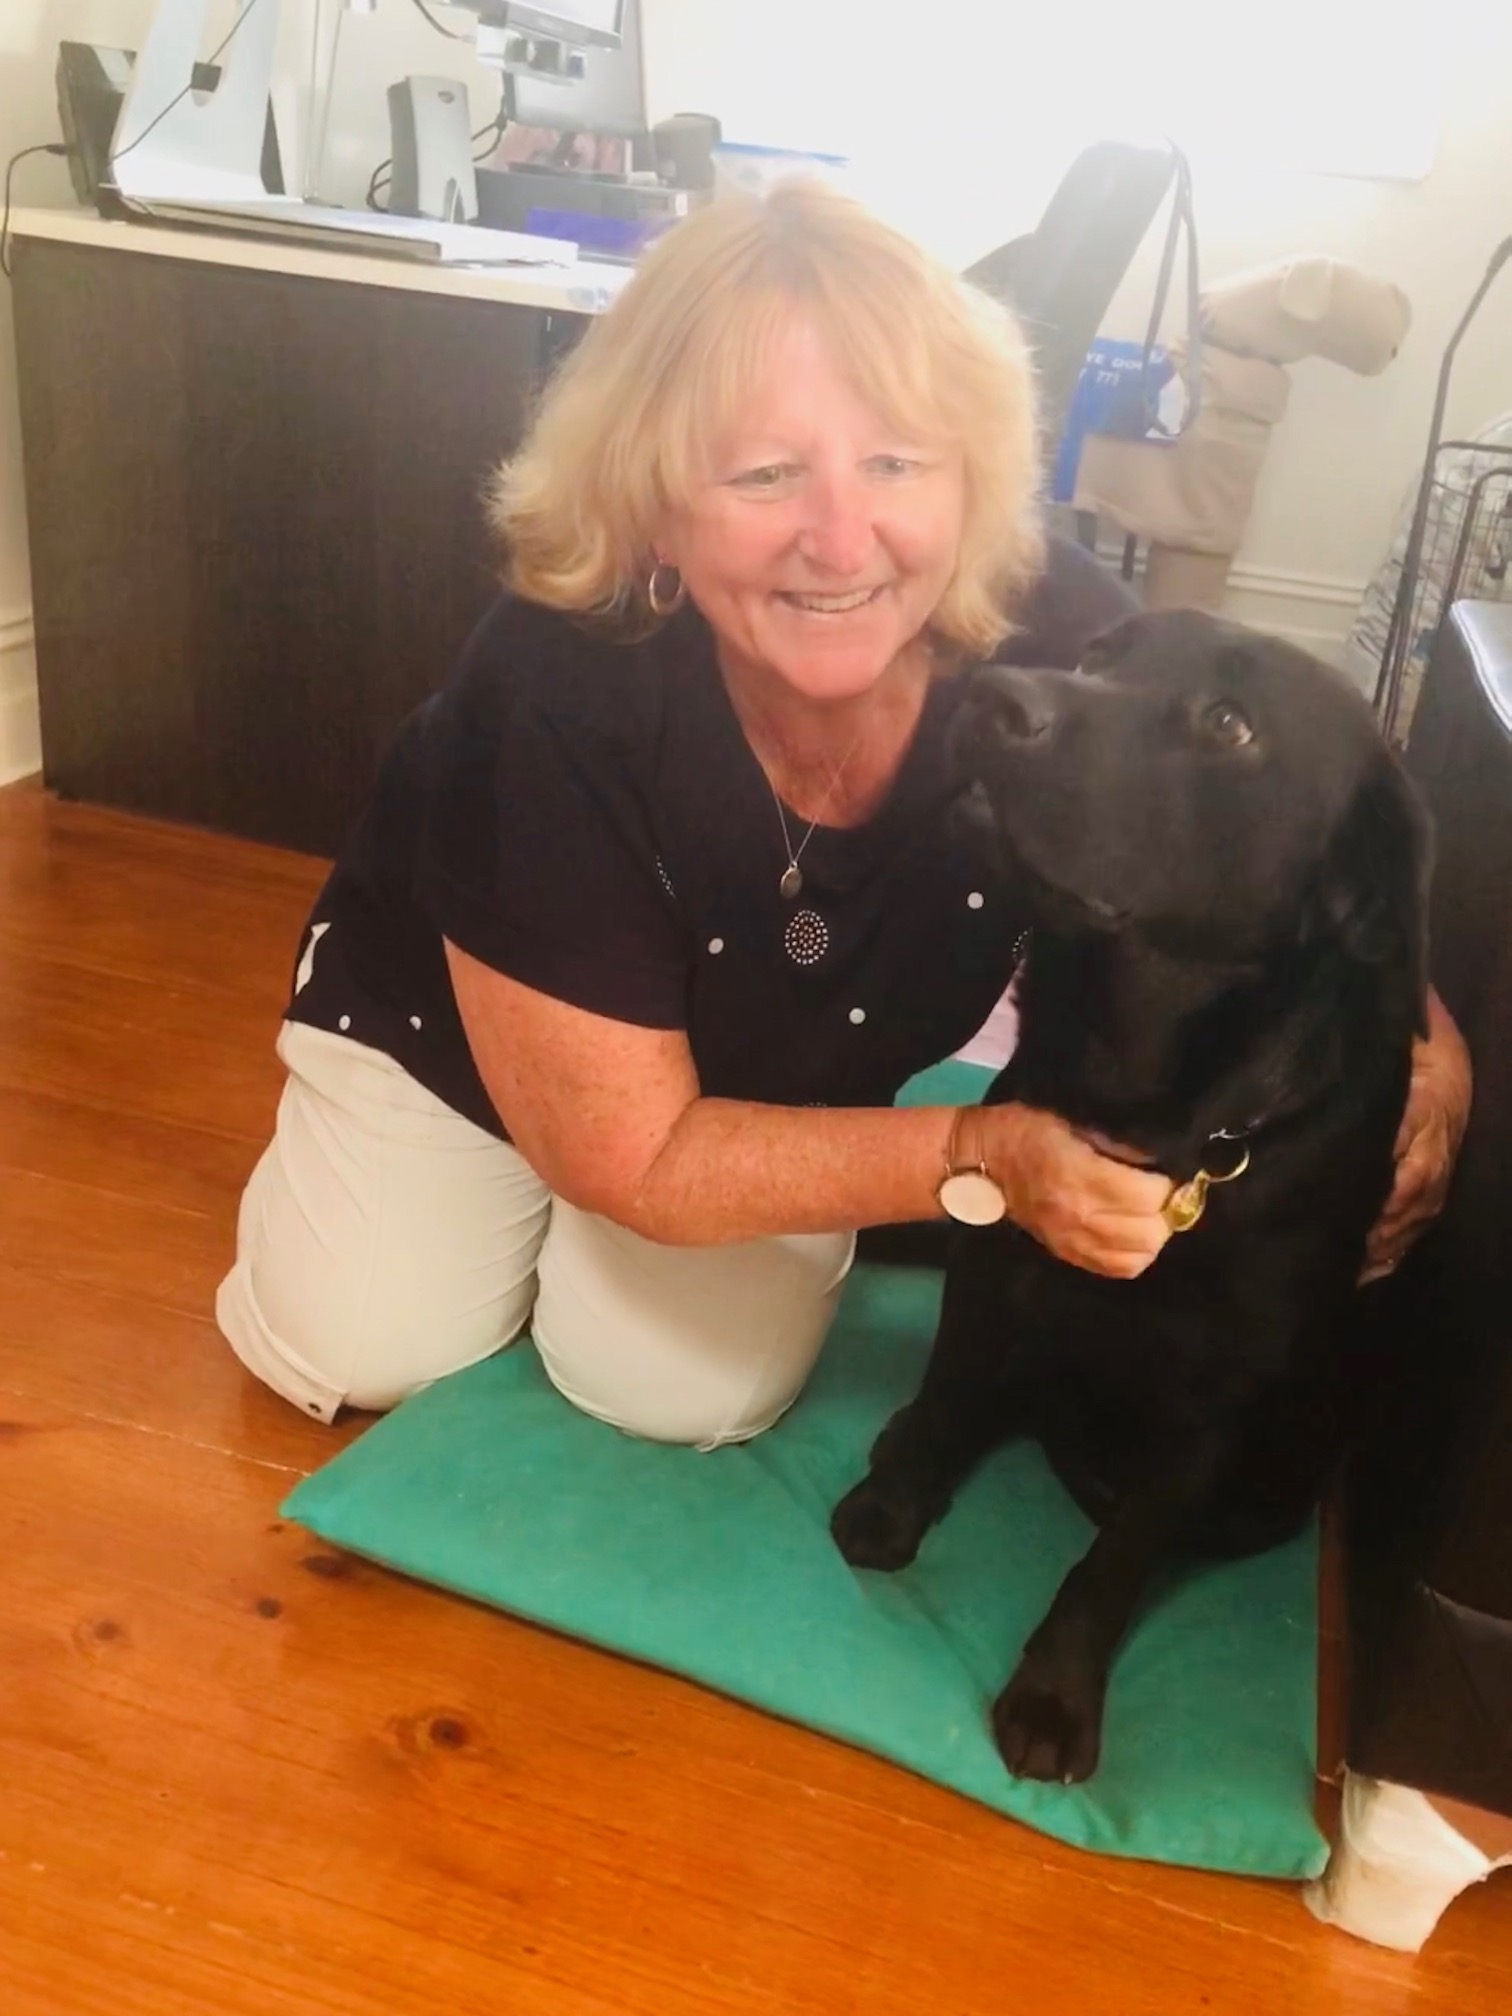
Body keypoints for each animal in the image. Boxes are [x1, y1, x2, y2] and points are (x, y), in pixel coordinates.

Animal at [830, 608, 1435, 1782]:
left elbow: (1111, 1566)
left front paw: (1055, 1696)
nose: (991, 699)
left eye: (1230, 723)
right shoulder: (992, 1265)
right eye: (1101, 655)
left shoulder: (1210, 1409)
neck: (1151, 1116)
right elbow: (951, 1394)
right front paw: (894, 1500)